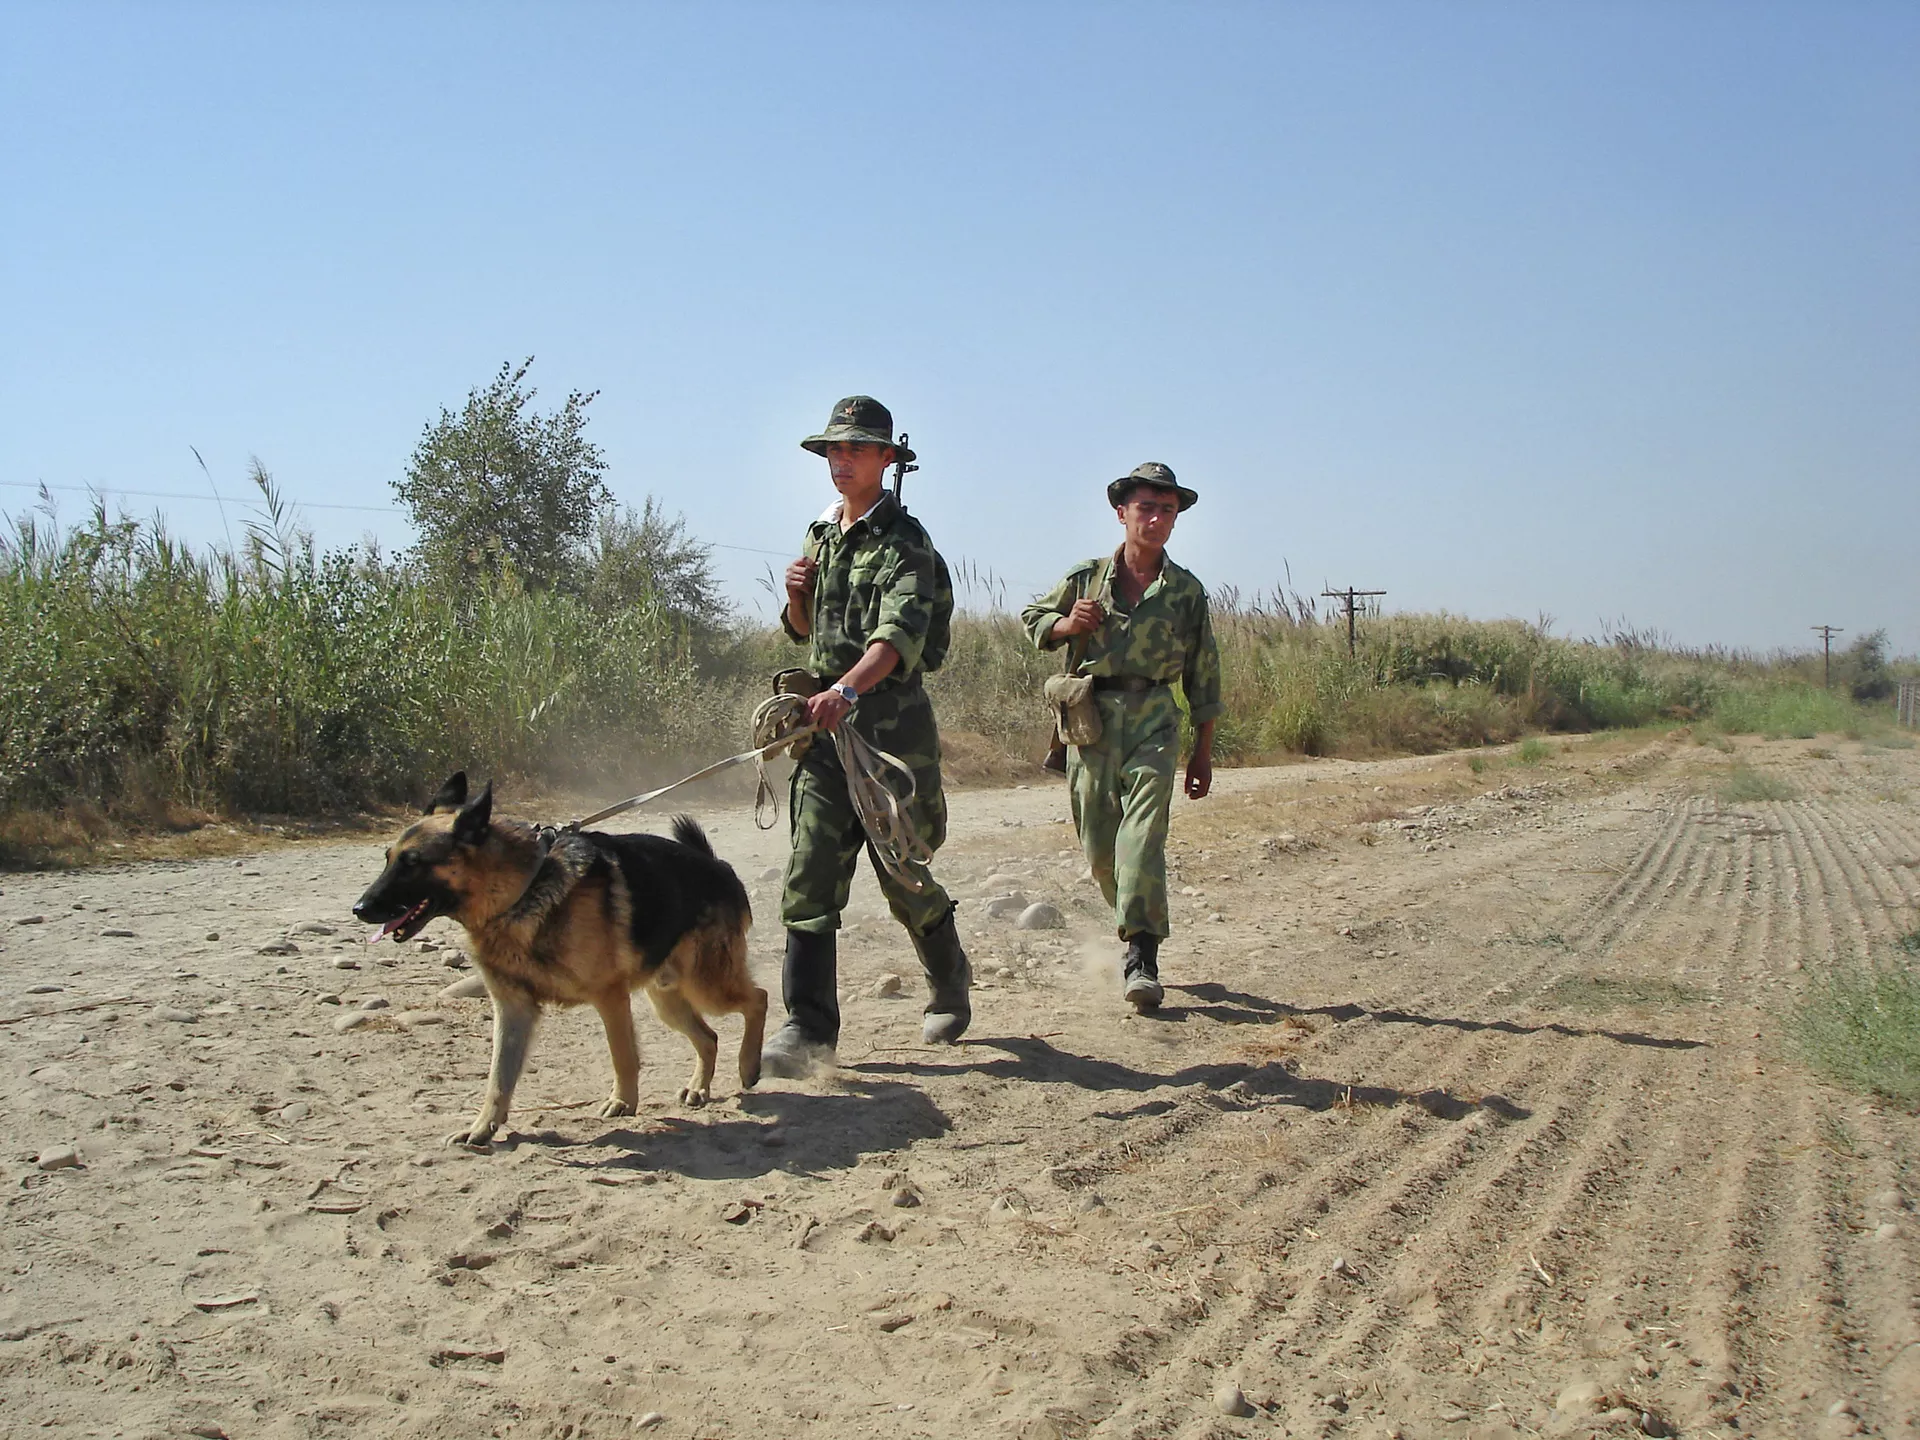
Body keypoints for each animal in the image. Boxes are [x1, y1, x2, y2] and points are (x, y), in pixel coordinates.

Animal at [349, 779, 768, 1152]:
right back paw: (700, 1086)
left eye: (413, 863)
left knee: (758, 999)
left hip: (707, 986)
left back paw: (748, 1065)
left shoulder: (610, 998)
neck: (521, 890)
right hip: (667, 999)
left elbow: (623, 1056)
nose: (359, 908)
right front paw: (482, 1128)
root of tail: (717, 865)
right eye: (388, 860)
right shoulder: (513, 1010)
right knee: (709, 1038)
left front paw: (623, 1101)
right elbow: (498, 1078)